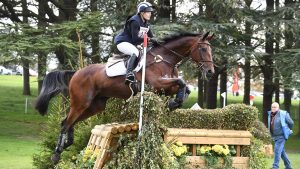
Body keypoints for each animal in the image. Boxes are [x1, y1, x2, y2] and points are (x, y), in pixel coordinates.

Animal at [34, 31, 213, 164]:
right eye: (203, 49)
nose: (211, 72)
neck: (164, 59)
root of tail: (76, 73)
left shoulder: (165, 88)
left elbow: (184, 86)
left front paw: (174, 103)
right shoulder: (156, 84)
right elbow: (181, 81)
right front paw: (173, 103)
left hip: (95, 106)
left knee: (69, 121)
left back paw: (67, 144)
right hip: (81, 102)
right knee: (66, 122)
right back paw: (56, 154)